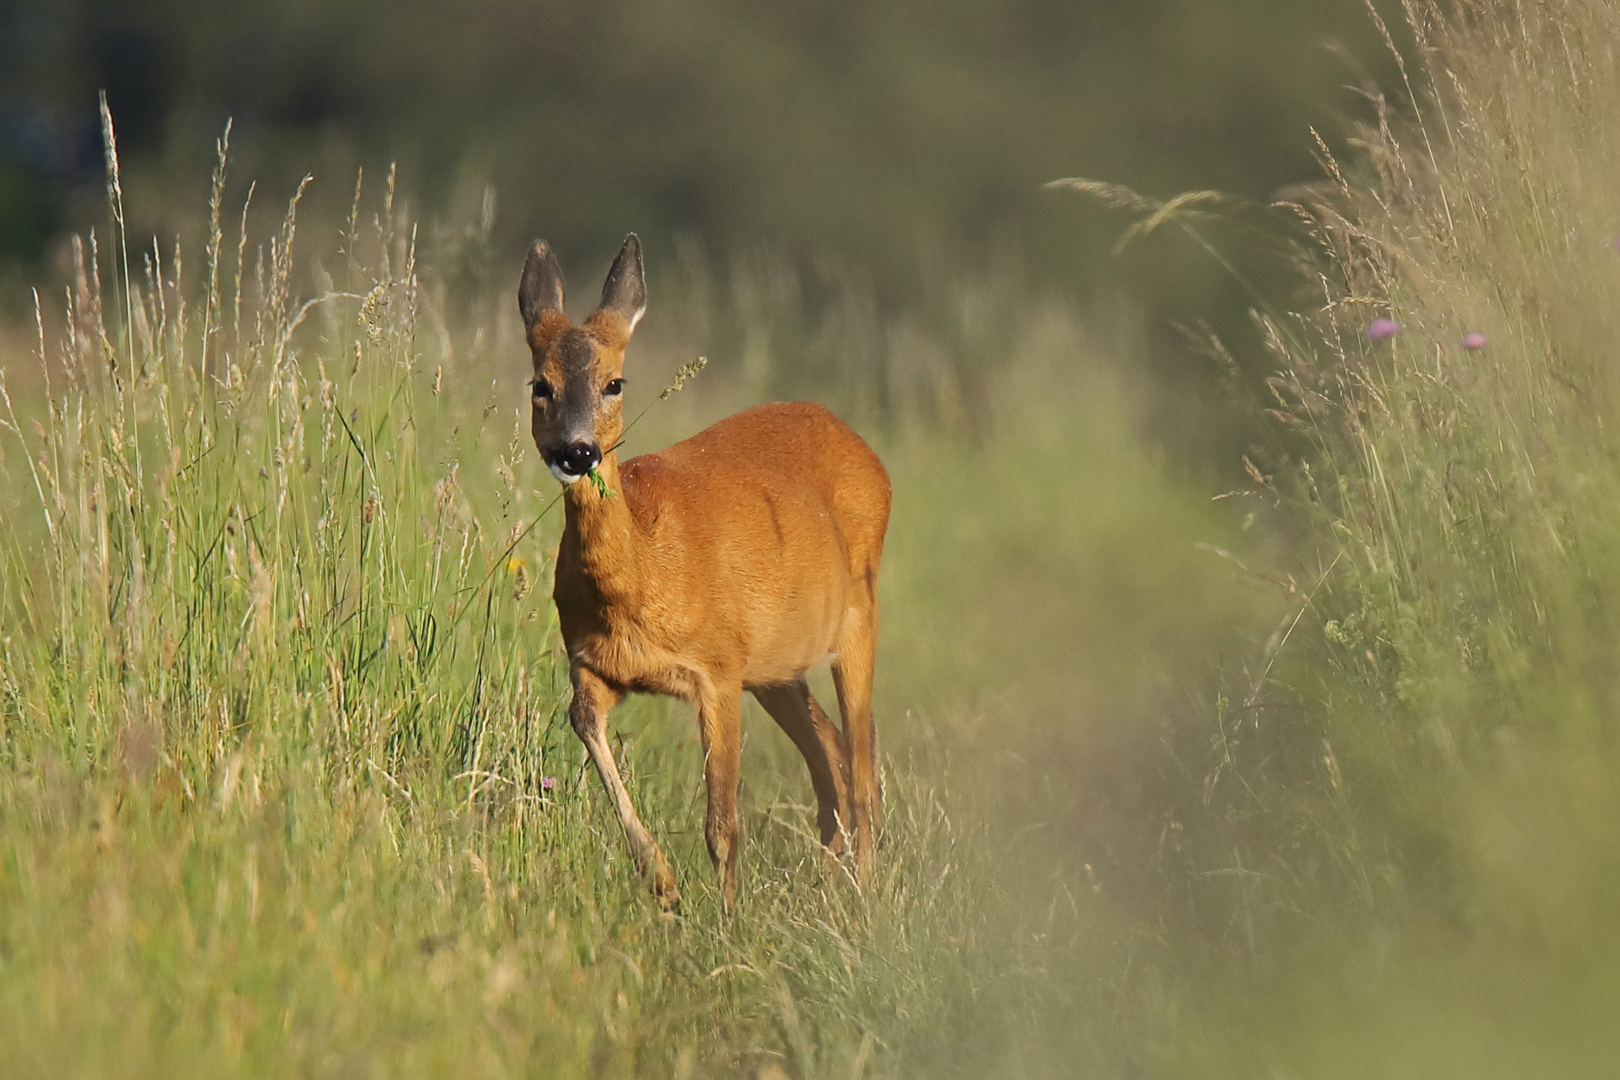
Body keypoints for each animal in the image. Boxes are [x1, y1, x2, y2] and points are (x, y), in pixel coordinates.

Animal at [518, 236, 894, 913]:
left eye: (614, 383)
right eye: (541, 385)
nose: (578, 451)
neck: (641, 578)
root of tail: (867, 452)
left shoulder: (718, 669)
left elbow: (723, 824)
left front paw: (727, 924)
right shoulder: (594, 664)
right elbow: (584, 723)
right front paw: (663, 883)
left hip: (858, 616)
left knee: (861, 765)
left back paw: (861, 903)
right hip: (776, 664)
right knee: (831, 753)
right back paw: (830, 889)